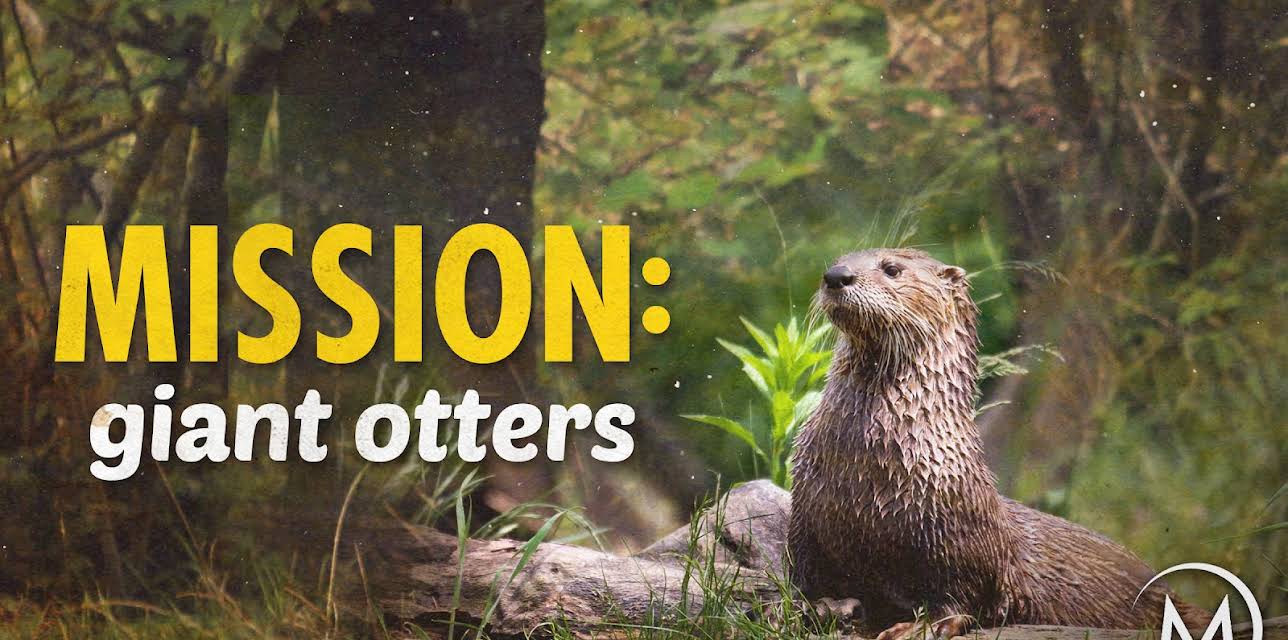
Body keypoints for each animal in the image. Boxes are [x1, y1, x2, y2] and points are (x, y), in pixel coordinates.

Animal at [788, 248, 1209, 639]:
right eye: (838, 260)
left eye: (892, 268)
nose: (836, 276)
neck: (868, 469)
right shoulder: (808, 516)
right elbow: (811, 573)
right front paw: (825, 606)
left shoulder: (959, 538)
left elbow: (963, 596)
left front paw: (918, 626)